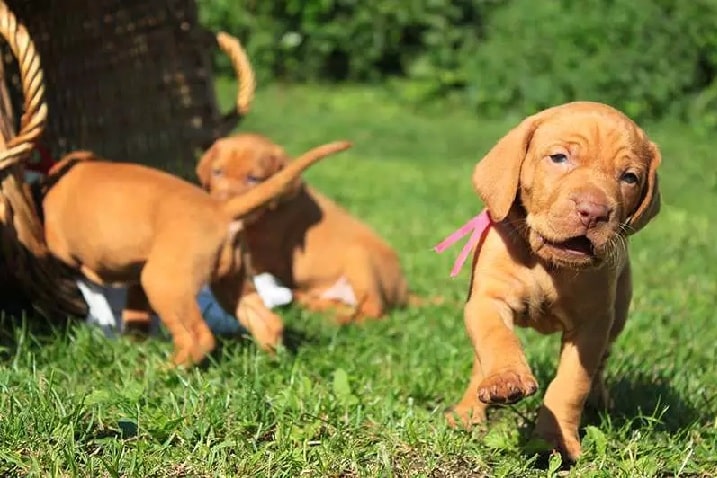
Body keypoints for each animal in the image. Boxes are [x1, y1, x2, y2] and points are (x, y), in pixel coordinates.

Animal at [42, 140, 350, 364]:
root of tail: (221, 209)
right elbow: (134, 311)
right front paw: (133, 339)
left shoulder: (66, 255)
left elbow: (91, 287)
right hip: (231, 282)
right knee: (267, 320)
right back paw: (273, 361)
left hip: (164, 282)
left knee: (198, 337)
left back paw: (167, 370)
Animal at [196, 133, 408, 324]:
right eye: (217, 172)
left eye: (253, 178)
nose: (221, 206)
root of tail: (405, 292)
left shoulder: (265, 254)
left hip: (360, 258)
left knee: (374, 312)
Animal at [442, 102, 660, 464]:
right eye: (559, 158)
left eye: (630, 177)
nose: (593, 211)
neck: (546, 265)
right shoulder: (487, 299)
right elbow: (496, 338)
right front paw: (506, 379)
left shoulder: (592, 324)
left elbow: (571, 383)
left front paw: (553, 441)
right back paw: (469, 411)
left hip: (618, 315)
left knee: (601, 363)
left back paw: (600, 400)